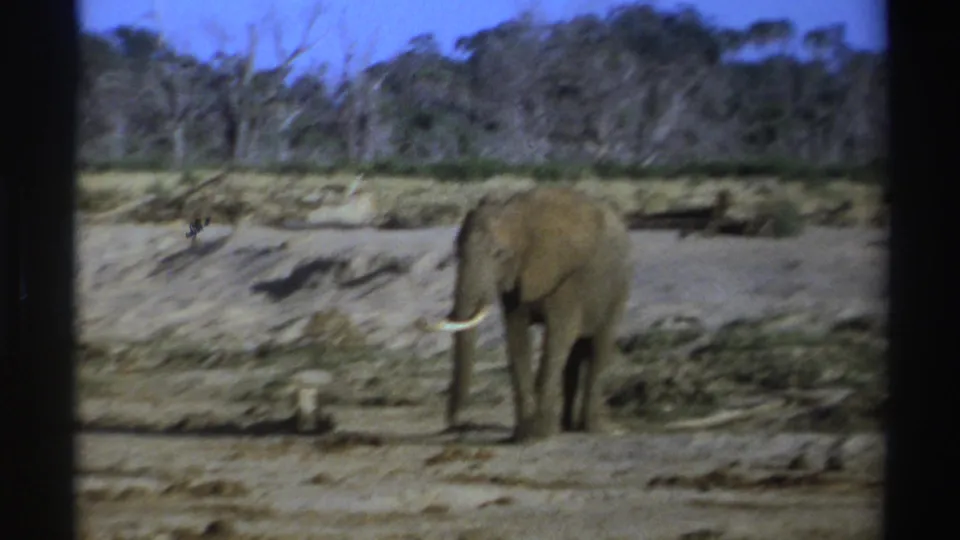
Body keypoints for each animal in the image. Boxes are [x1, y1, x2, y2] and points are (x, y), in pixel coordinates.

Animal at [416, 187, 632, 443]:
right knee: (573, 359)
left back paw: (591, 428)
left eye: (499, 254)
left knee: (599, 348)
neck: (518, 213)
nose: (456, 424)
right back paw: (566, 426)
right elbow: (516, 338)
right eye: (457, 252)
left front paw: (540, 433)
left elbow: (559, 335)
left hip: (618, 290)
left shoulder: (566, 277)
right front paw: (524, 435)